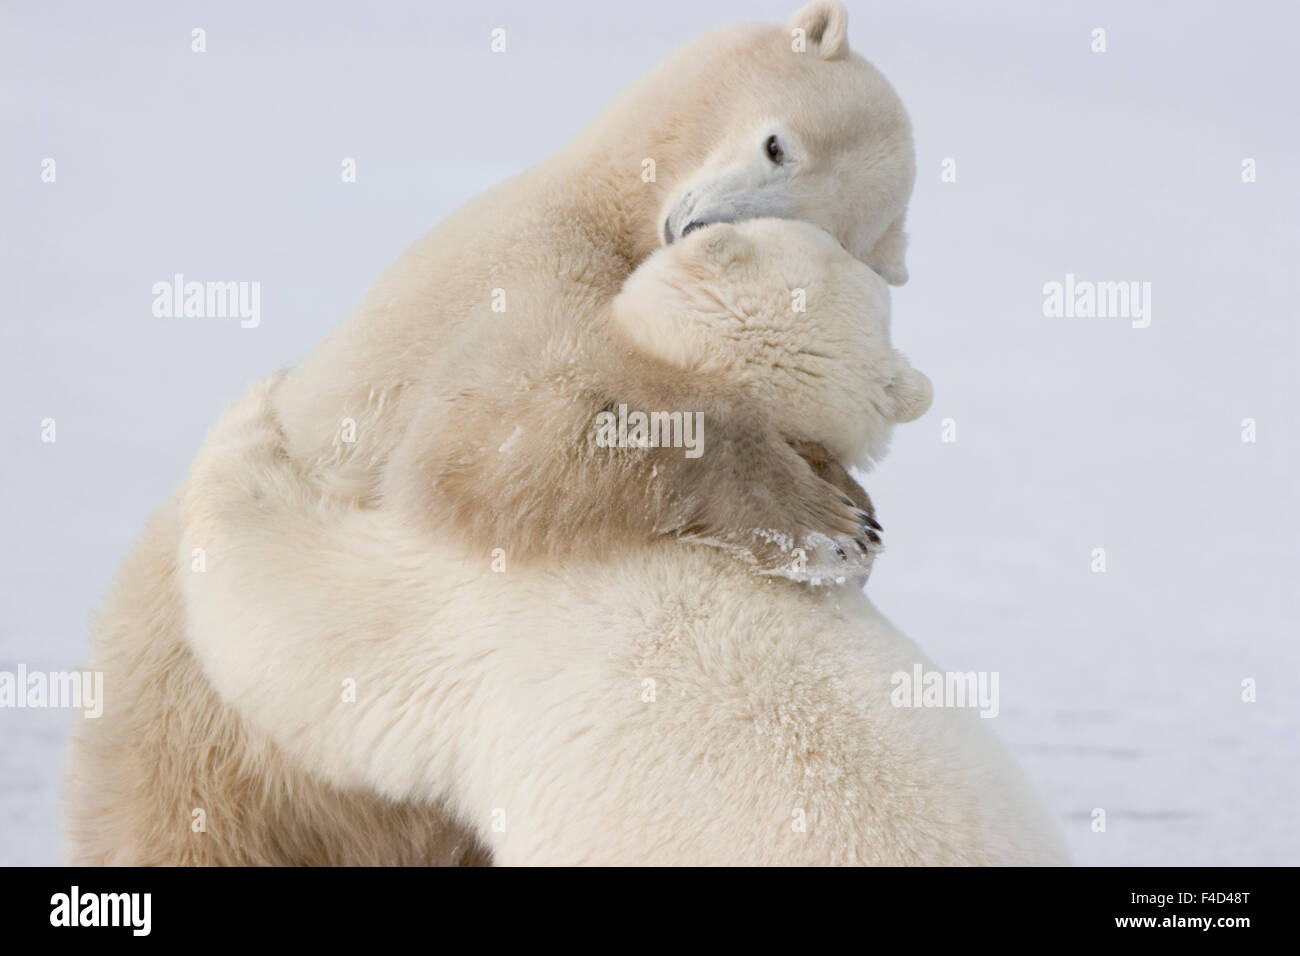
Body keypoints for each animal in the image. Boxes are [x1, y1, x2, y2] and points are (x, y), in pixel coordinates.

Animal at [269, 0, 915, 572]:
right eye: (776, 145)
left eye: (809, 222)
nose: (694, 226)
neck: (604, 206)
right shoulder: (524, 262)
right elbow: (483, 437)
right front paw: (829, 522)